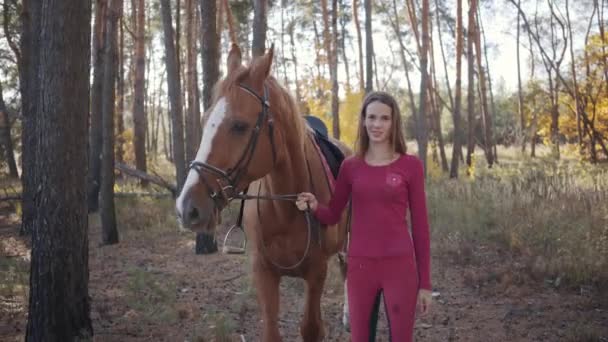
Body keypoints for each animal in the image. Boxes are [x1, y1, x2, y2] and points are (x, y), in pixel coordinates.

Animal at [175, 44, 352, 340]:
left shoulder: (317, 272)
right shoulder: (263, 271)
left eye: (239, 126)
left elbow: (312, 328)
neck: (286, 207)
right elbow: (271, 329)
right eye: (205, 119)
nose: (187, 208)